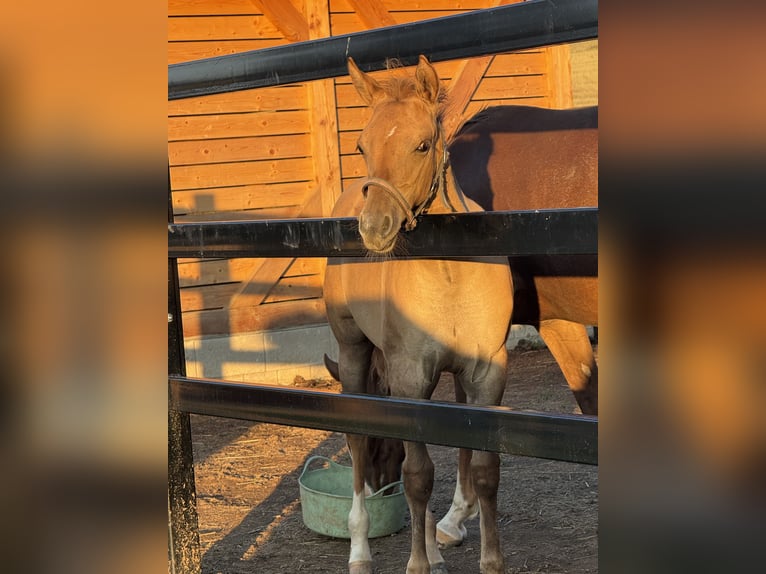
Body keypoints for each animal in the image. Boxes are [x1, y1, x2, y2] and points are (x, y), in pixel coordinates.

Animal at [323, 56, 515, 574]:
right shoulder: (409, 375)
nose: (375, 228)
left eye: (422, 144)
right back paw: (360, 549)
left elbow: (485, 469)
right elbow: (416, 476)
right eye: (362, 145)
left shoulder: (486, 372)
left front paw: (489, 561)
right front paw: (416, 564)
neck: (452, 274)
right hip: (353, 352)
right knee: (357, 440)